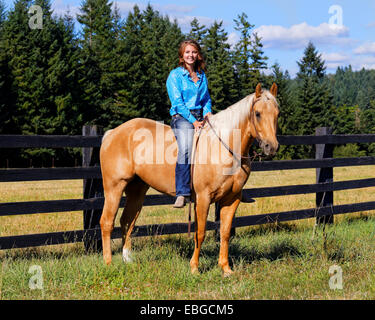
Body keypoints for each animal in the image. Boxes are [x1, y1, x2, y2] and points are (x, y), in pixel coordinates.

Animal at [98, 82, 280, 276]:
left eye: (277, 113)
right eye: (258, 113)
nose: (271, 147)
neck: (223, 147)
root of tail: (112, 133)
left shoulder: (232, 199)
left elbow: (224, 233)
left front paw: (225, 269)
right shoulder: (203, 198)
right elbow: (200, 232)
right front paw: (194, 268)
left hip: (137, 190)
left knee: (127, 221)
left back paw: (128, 260)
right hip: (114, 188)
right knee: (107, 222)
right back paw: (108, 263)